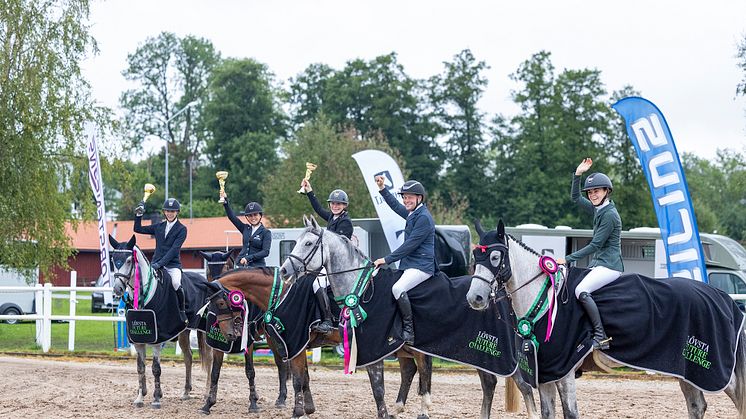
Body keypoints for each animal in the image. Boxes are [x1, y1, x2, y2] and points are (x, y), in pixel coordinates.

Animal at [107, 236, 209, 410]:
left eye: (129, 260)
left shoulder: (157, 339)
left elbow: (156, 369)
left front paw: (156, 398)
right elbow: (140, 367)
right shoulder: (138, 340)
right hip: (183, 332)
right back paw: (186, 392)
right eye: (113, 260)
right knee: (188, 356)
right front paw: (140, 397)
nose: (117, 289)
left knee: (210, 359)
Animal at [195, 251, 290, 416]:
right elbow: (215, 372)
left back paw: (281, 399)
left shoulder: (248, 342)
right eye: (208, 271)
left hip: (272, 336)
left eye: (226, 267)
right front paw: (208, 404)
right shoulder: (219, 344)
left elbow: (250, 371)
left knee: (281, 363)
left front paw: (253, 404)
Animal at [276, 217, 536, 419]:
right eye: (296, 242)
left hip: (498, 353)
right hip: (478, 354)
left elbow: (378, 391)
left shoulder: (374, 350)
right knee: (491, 384)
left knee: (523, 386)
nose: (285, 271)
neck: (361, 288)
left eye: (308, 243)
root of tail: (497, 293)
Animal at [464, 221, 744, 418]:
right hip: (686, 369)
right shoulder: (546, 373)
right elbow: (547, 413)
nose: (475, 298)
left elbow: (570, 414)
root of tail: (722, 297)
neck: (544, 296)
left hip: (716, 371)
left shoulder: (564, 371)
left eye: (495, 258)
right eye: (475, 258)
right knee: (697, 405)